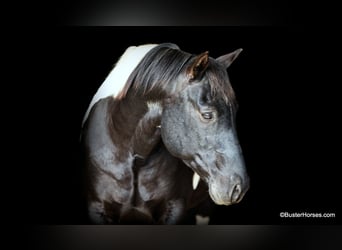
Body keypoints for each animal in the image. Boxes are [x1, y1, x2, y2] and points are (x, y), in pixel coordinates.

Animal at [81, 43, 250, 225]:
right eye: (207, 115)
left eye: (235, 111)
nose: (239, 187)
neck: (132, 158)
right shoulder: (97, 208)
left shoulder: (174, 209)